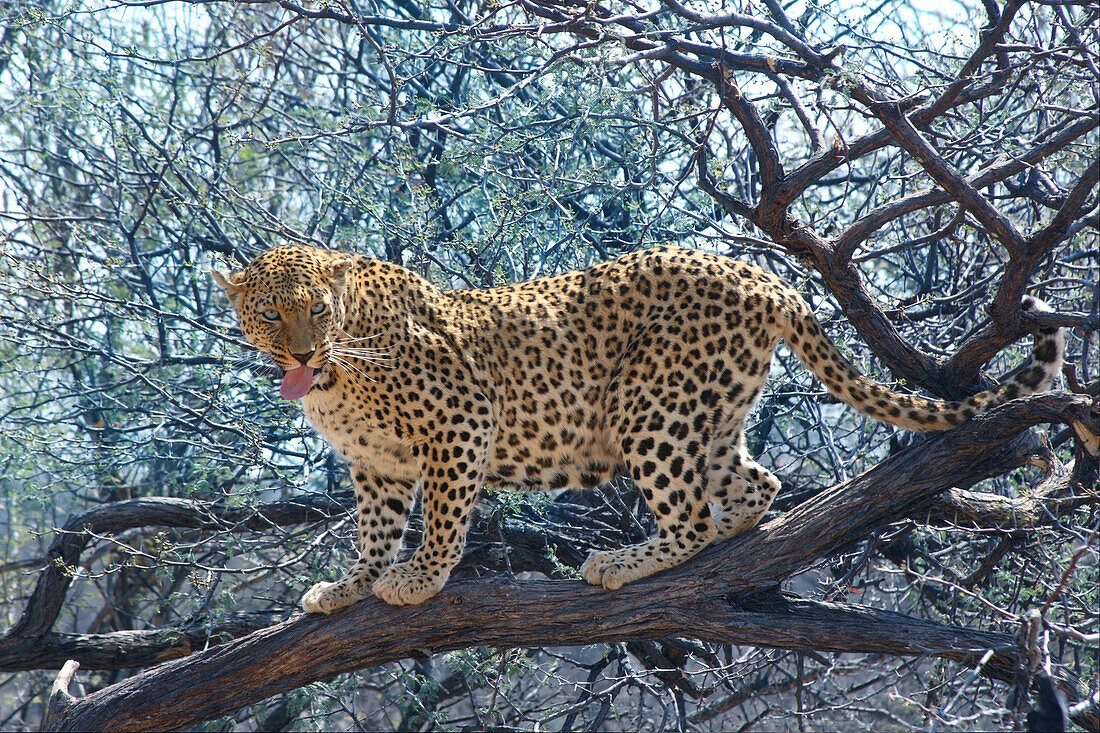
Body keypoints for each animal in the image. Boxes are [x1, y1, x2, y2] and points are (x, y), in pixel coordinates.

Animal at [210, 242, 1060, 607]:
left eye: (316, 309)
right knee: (754, 482)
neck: (339, 373)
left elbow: (445, 518)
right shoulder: (376, 462)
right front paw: (350, 584)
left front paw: (418, 579)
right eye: (271, 312)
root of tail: (762, 273)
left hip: (650, 404)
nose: (301, 350)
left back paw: (625, 561)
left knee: (689, 513)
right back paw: (721, 535)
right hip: (707, 407)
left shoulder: (461, 420)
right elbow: (373, 529)